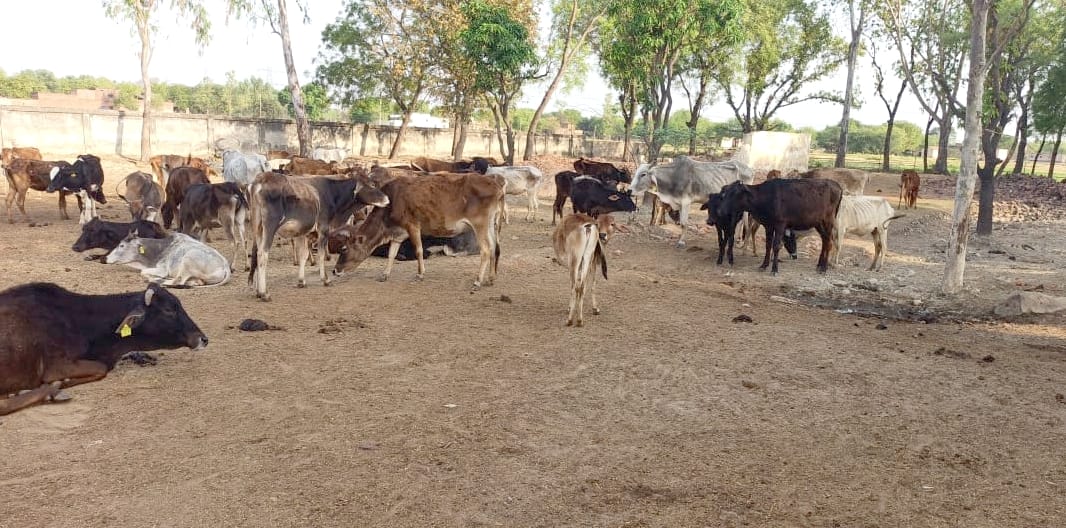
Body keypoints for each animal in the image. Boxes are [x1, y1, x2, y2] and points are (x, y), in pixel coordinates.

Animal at [247, 171, 389, 300]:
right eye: (372, 185)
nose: (387, 200)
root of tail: (261, 179)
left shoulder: (303, 233)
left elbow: (303, 255)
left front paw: (301, 281)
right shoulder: (323, 228)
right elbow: (321, 254)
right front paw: (325, 279)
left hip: (258, 228)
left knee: (256, 253)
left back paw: (257, 291)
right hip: (270, 226)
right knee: (262, 254)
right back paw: (264, 293)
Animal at [329, 169, 505, 290]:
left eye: (344, 249)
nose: (335, 270)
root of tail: (496, 186)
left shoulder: (412, 225)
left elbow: (419, 250)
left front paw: (420, 274)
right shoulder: (398, 233)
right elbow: (391, 254)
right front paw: (384, 274)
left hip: (479, 224)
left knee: (486, 250)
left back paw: (478, 280)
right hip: (492, 224)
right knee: (495, 248)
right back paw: (491, 278)